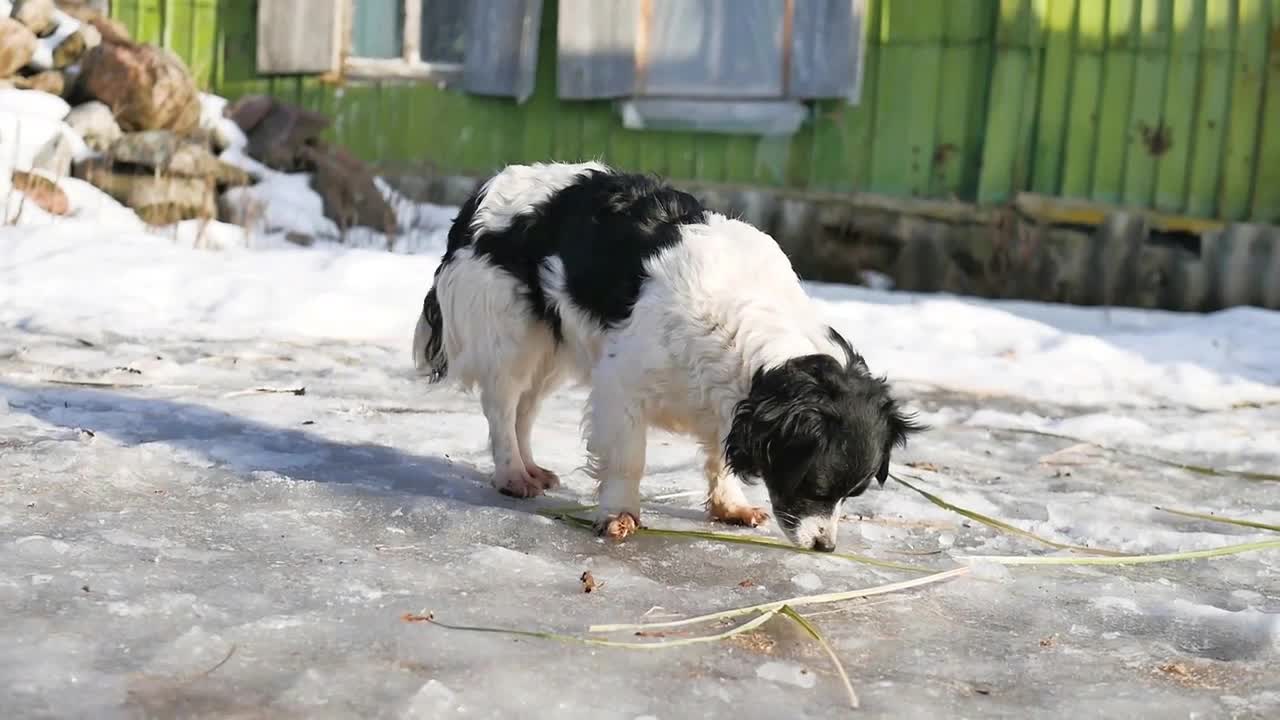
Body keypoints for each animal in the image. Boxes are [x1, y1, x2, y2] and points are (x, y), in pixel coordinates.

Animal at [412, 162, 921, 545]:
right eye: (814, 485)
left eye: (852, 494)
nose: (824, 545)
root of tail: (481, 195)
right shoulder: (621, 386)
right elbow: (627, 458)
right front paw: (619, 514)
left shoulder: (728, 401)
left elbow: (720, 455)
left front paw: (730, 504)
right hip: (512, 338)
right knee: (502, 407)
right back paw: (512, 474)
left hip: (553, 347)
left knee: (525, 408)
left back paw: (531, 468)